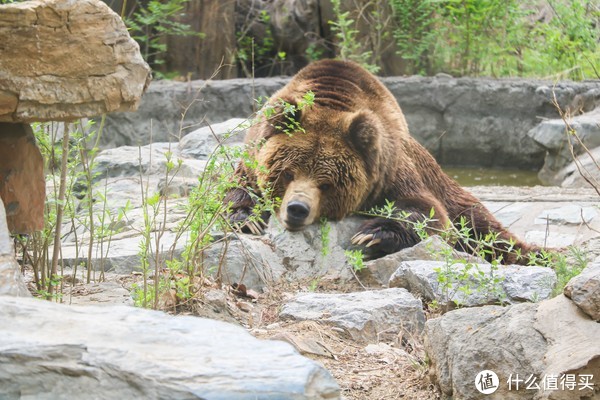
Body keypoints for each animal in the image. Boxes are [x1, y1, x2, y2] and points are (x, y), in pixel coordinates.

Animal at [224, 58, 536, 262]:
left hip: (445, 185)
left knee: (480, 226)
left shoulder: (389, 170)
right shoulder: (253, 155)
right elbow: (234, 187)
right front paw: (245, 218)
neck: (332, 97)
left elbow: (428, 212)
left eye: (326, 183)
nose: (297, 209)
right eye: (288, 173)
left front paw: (372, 234)